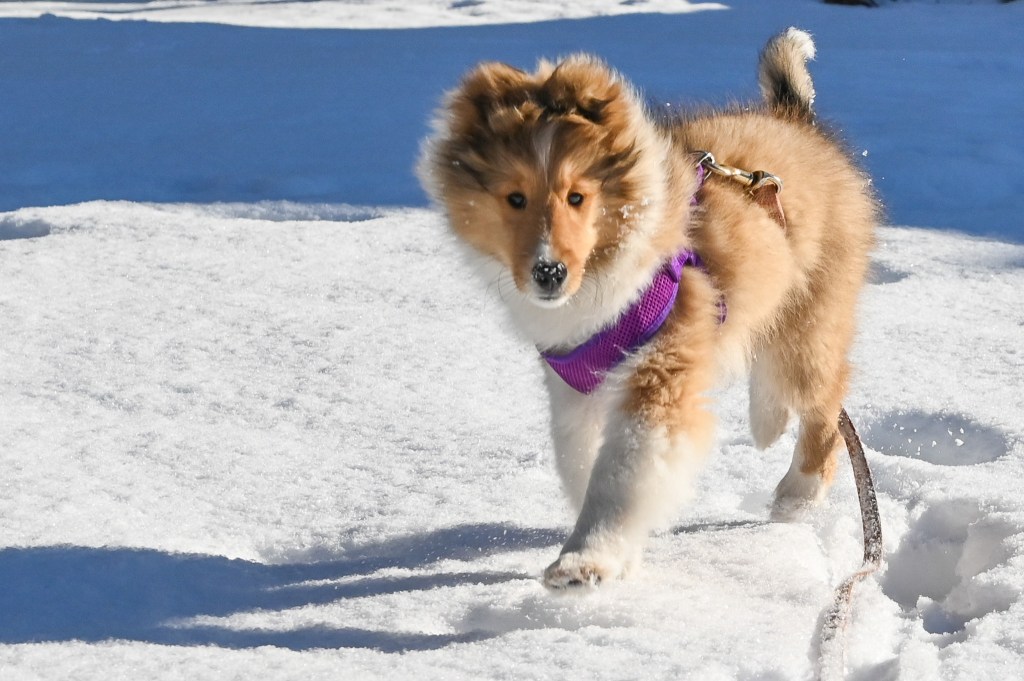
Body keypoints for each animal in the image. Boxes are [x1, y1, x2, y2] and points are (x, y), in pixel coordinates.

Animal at [417, 28, 878, 588]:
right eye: (514, 198)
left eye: (577, 196)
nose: (549, 272)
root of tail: (795, 121)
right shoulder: (576, 381)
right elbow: (579, 460)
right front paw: (620, 554)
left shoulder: (662, 364)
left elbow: (624, 469)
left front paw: (584, 561)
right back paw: (767, 420)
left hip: (812, 314)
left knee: (824, 395)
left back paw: (797, 495)